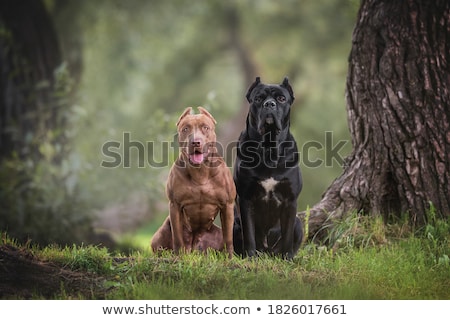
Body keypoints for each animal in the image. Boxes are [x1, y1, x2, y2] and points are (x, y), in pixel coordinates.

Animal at [151, 107, 236, 258]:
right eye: (185, 129)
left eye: (205, 127)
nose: (196, 142)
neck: (200, 172)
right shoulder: (175, 205)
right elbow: (177, 237)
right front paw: (178, 256)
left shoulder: (228, 205)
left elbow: (228, 237)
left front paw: (230, 258)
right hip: (161, 233)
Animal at [234, 77, 304, 260]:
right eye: (258, 99)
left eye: (281, 98)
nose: (269, 104)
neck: (268, 149)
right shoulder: (246, 198)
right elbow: (249, 233)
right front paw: (250, 256)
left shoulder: (290, 200)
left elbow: (287, 234)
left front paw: (288, 257)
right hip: (234, 224)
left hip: (299, 223)